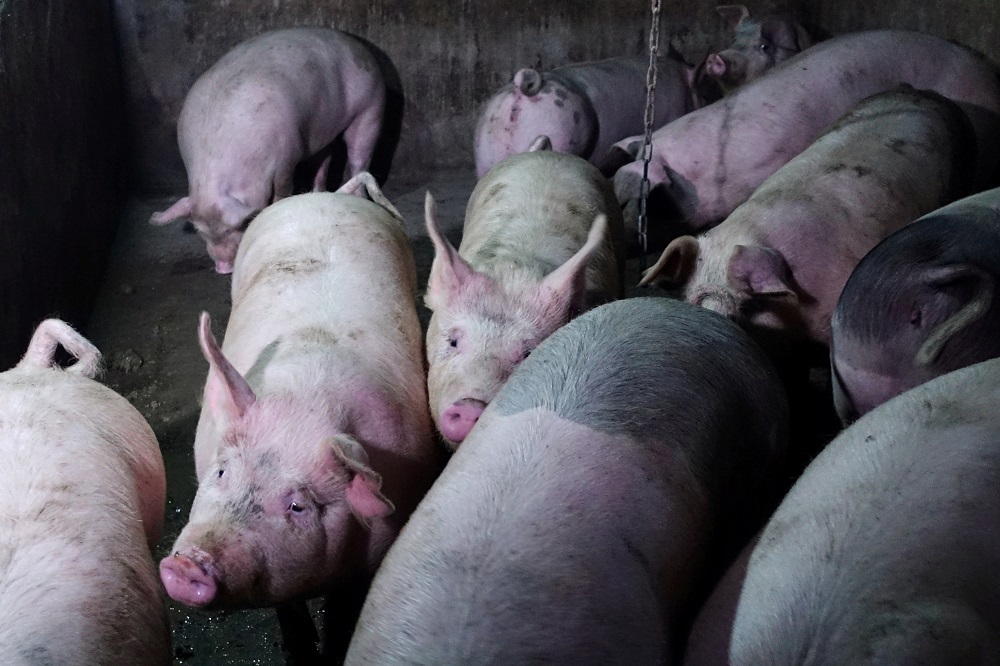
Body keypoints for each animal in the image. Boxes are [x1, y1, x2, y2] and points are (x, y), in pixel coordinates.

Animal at [149, 27, 386, 274]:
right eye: (200, 231)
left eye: (238, 226)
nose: (223, 268)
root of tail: (356, 44)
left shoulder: (287, 155)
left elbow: (282, 189)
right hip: (322, 129)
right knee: (324, 157)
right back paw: (316, 191)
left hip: (371, 107)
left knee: (359, 156)